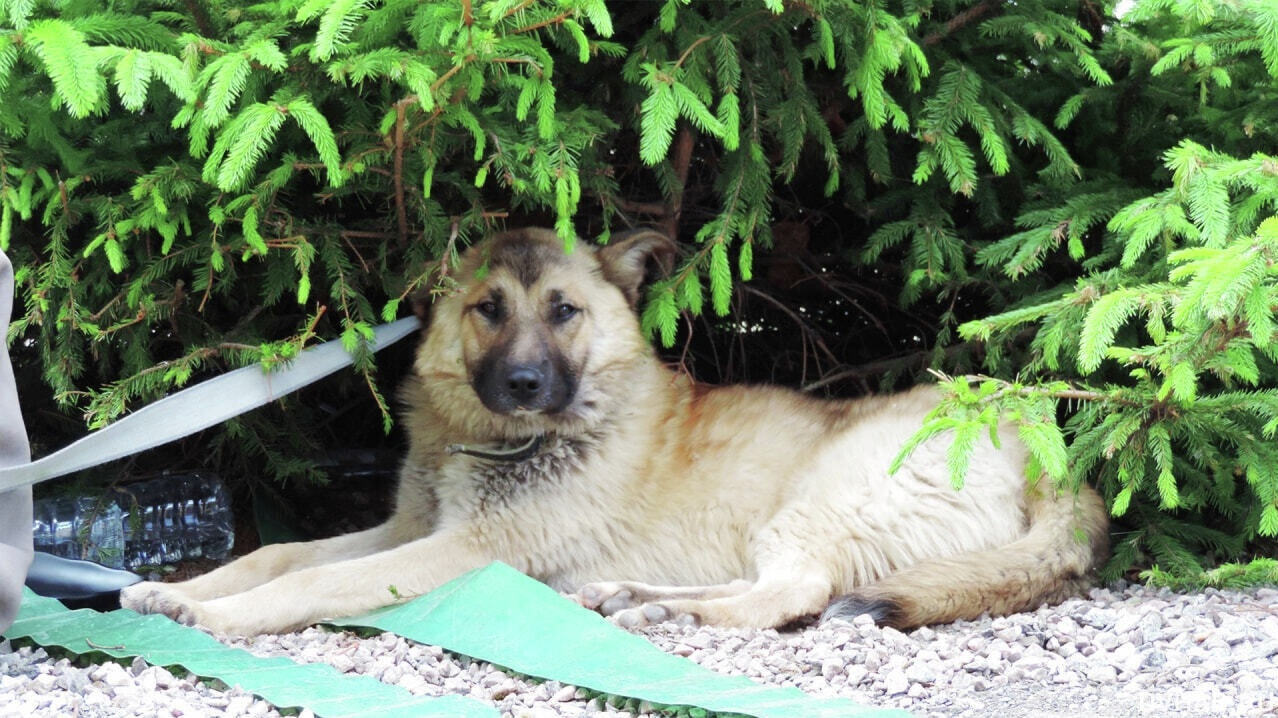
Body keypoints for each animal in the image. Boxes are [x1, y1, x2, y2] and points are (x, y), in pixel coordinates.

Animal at [120, 226, 1109, 633]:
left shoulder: (459, 552)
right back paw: (635, 597)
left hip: (818, 501)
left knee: (793, 594)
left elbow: (309, 585)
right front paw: (180, 587)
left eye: (563, 311)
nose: (524, 384)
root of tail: (1042, 451)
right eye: (487, 309)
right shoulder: (407, 527)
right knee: (776, 587)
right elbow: (279, 555)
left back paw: (672, 610)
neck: (497, 437)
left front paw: (213, 614)